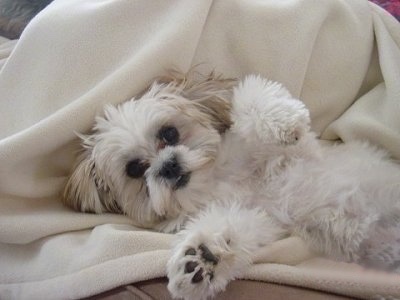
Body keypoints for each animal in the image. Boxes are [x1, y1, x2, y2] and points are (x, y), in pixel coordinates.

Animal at [61, 71, 400, 298]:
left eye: (169, 133)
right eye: (134, 169)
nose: (167, 165)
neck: (220, 179)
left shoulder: (303, 153)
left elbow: (250, 97)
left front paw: (284, 122)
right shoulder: (256, 215)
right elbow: (227, 228)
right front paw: (201, 257)